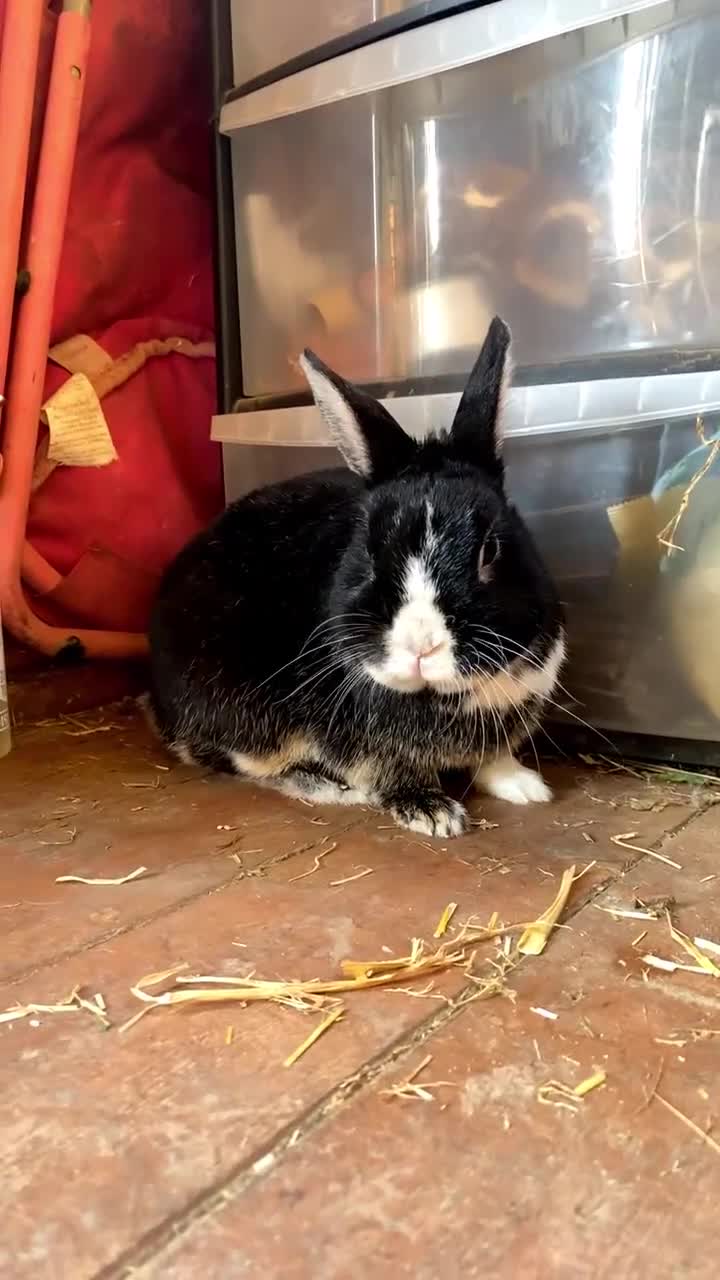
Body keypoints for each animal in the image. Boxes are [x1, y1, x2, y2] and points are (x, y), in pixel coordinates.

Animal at [148, 316, 565, 838]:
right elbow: (389, 768)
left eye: (490, 550)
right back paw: (326, 786)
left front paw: (526, 786)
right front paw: (432, 813)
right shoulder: (360, 742)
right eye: (367, 550)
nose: (421, 646)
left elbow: (494, 756)